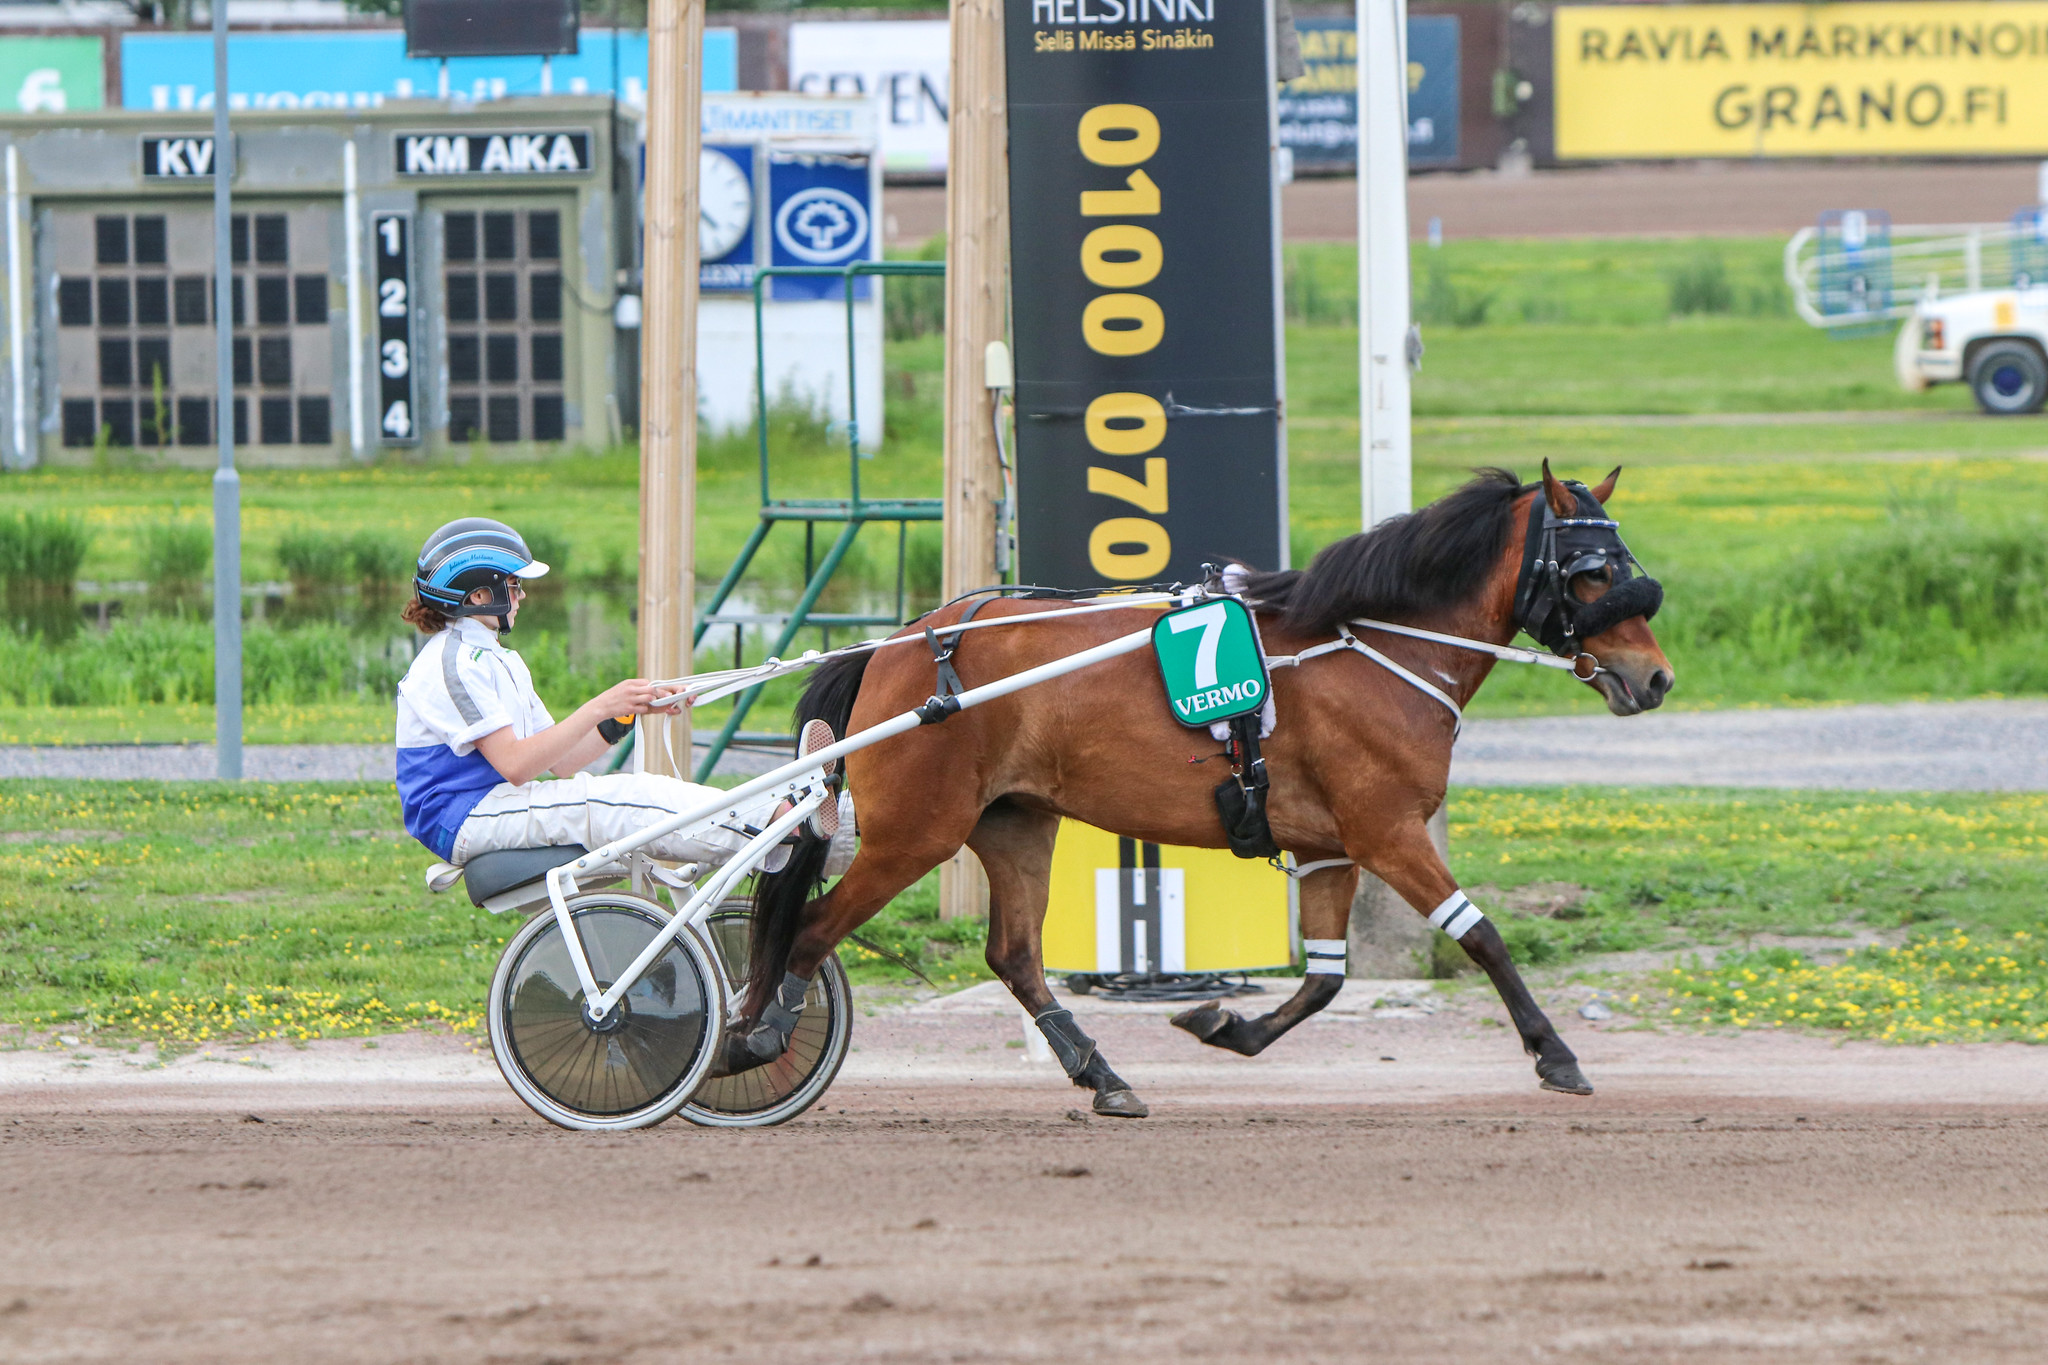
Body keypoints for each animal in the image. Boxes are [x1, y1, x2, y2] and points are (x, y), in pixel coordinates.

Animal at [729, 464, 1671, 1113]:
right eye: (1591, 571)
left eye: (1626, 562)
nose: (1654, 677)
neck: (1372, 645)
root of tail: (898, 645)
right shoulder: (1387, 832)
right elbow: (1484, 939)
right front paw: (1555, 1052)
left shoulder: (1330, 848)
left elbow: (1326, 980)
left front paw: (1225, 1025)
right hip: (914, 831)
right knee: (812, 926)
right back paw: (763, 1031)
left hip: (1015, 822)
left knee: (1016, 956)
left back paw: (1103, 1074)